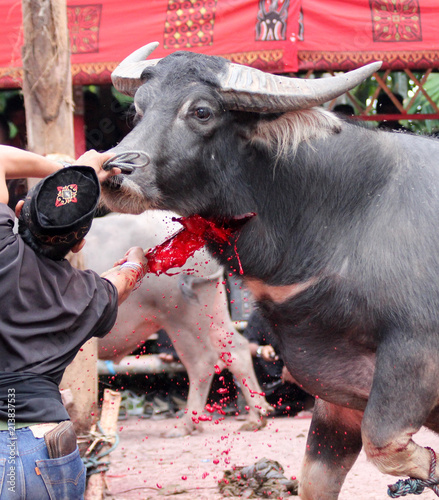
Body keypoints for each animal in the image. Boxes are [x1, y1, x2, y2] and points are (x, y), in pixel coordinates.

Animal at [81, 211, 270, 438]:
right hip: (212, 307)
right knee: (236, 349)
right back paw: (256, 417)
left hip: (181, 318)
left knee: (202, 362)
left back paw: (186, 425)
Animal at [100, 44, 439, 500]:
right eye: (138, 108)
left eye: (202, 111)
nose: (115, 171)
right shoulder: (340, 386)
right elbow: (315, 479)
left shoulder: (414, 351)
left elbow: (384, 442)